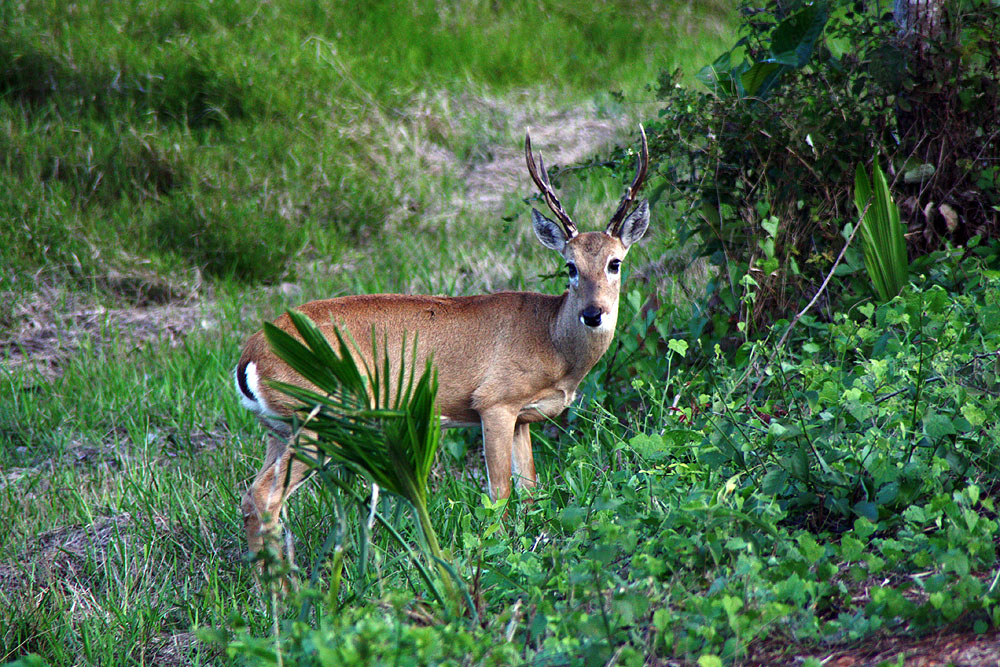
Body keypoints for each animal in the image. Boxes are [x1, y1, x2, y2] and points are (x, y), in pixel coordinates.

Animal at [237, 125, 652, 560]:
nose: (593, 313)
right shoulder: (494, 402)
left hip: (279, 427)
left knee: (254, 498)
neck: (551, 338)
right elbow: (500, 494)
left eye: (615, 262)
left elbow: (530, 491)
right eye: (570, 266)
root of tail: (250, 356)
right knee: (263, 496)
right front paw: (495, 552)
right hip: (318, 417)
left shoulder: (522, 416)